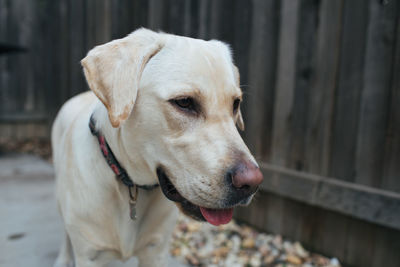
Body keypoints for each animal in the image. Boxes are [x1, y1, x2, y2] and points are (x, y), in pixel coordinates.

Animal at [51, 28, 264, 266]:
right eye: (184, 102)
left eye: (236, 104)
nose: (251, 183)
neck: (131, 185)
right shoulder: (91, 255)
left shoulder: (156, 251)